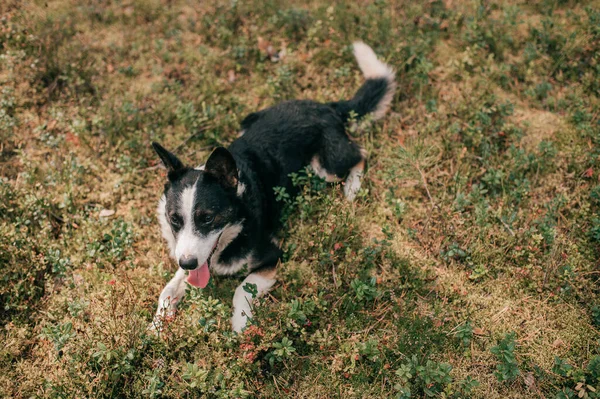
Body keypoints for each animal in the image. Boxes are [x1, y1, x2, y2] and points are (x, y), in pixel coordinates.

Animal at [151, 41, 394, 334]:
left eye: (208, 218)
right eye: (174, 220)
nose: (187, 262)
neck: (236, 226)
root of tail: (327, 107)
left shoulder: (274, 255)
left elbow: (242, 288)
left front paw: (240, 324)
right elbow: (169, 288)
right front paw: (157, 322)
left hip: (326, 168)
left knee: (360, 154)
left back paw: (352, 189)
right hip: (248, 121)